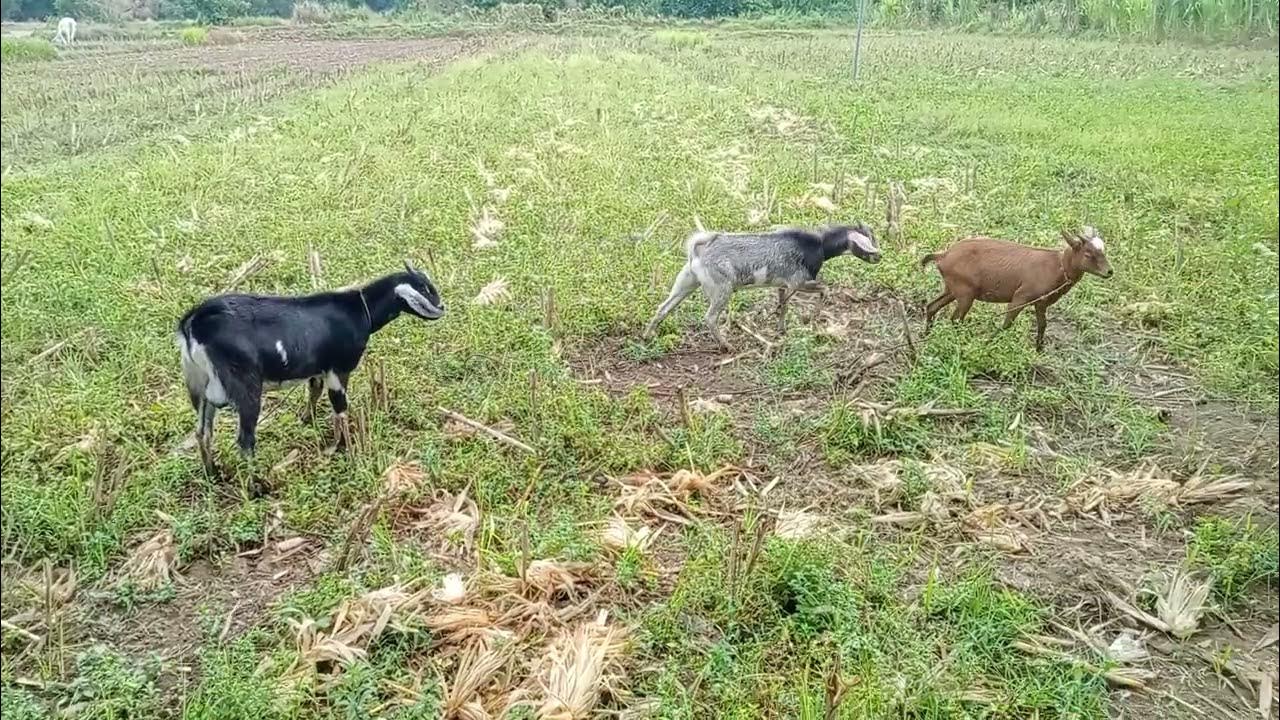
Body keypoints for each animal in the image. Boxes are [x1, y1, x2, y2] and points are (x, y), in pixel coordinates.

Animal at [176, 261, 444, 472]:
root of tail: (192, 322)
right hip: (244, 385)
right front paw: (343, 447)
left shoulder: (317, 369)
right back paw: (256, 487)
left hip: (201, 387)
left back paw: (212, 473)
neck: (360, 308)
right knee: (245, 440)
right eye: (424, 288)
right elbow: (340, 408)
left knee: (203, 432)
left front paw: (307, 421)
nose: (442, 307)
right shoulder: (339, 369)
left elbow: (314, 392)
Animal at [642, 223, 881, 350]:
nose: (879, 256)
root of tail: (700, 250)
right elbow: (825, 289)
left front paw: (781, 330)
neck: (819, 246)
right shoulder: (798, 281)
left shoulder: (782, 284)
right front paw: (813, 320)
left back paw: (648, 335)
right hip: (722, 287)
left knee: (664, 307)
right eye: (865, 243)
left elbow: (783, 306)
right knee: (709, 317)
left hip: (686, 281)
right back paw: (726, 345)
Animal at [920, 226, 1112, 351]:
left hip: (953, 289)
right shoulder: (1021, 297)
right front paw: (989, 344)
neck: (1057, 266)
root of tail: (943, 256)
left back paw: (927, 335)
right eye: (1088, 253)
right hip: (965, 293)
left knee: (932, 306)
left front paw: (1039, 349)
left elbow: (1043, 325)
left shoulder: (1041, 303)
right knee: (955, 319)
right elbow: (1007, 324)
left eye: (1104, 251)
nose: (1109, 272)